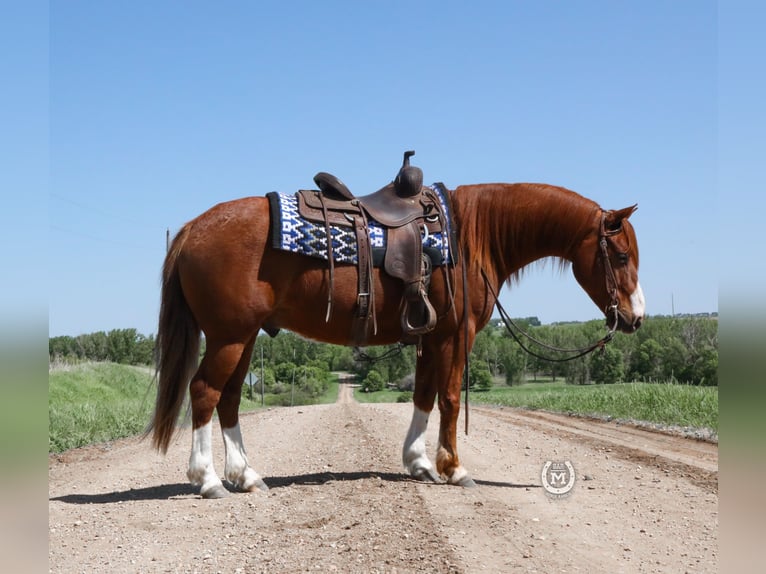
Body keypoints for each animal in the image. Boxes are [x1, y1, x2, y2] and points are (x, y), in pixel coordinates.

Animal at [147, 181, 644, 500]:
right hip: (229, 337)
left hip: (244, 338)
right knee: (204, 392)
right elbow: (449, 398)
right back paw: (208, 480)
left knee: (228, 399)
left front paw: (419, 463)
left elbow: (423, 395)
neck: (470, 238)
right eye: (620, 256)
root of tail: (192, 229)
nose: (636, 318)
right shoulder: (456, 334)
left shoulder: (431, 335)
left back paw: (246, 476)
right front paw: (454, 469)